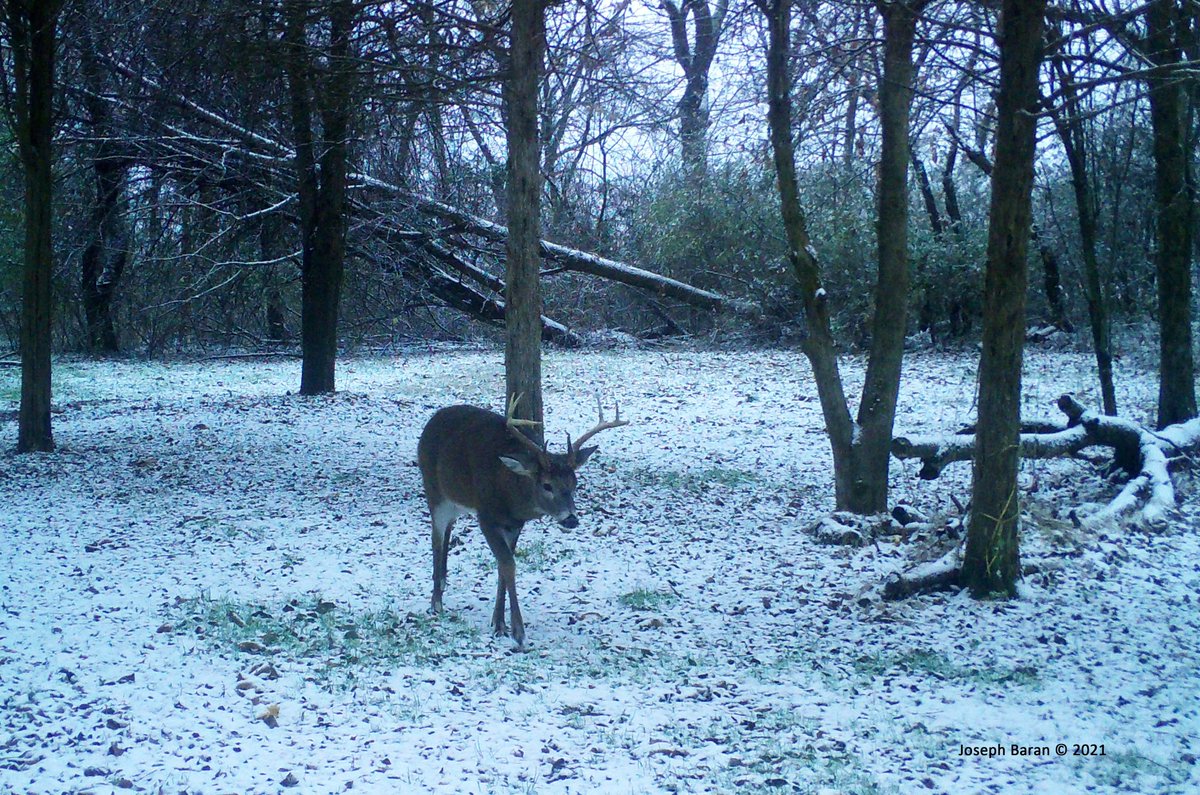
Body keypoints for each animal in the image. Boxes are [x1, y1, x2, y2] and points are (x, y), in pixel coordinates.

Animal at [417, 393, 627, 649]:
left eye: (574, 483)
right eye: (547, 485)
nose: (571, 519)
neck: (510, 494)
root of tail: (433, 419)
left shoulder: (515, 524)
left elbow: (502, 565)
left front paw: (498, 623)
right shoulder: (486, 515)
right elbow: (508, 564)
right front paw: (518, 632)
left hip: (456, 501)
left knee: (448, 529)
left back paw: (444, 583)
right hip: (434, 491)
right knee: (436, 538)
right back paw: (436, 602)